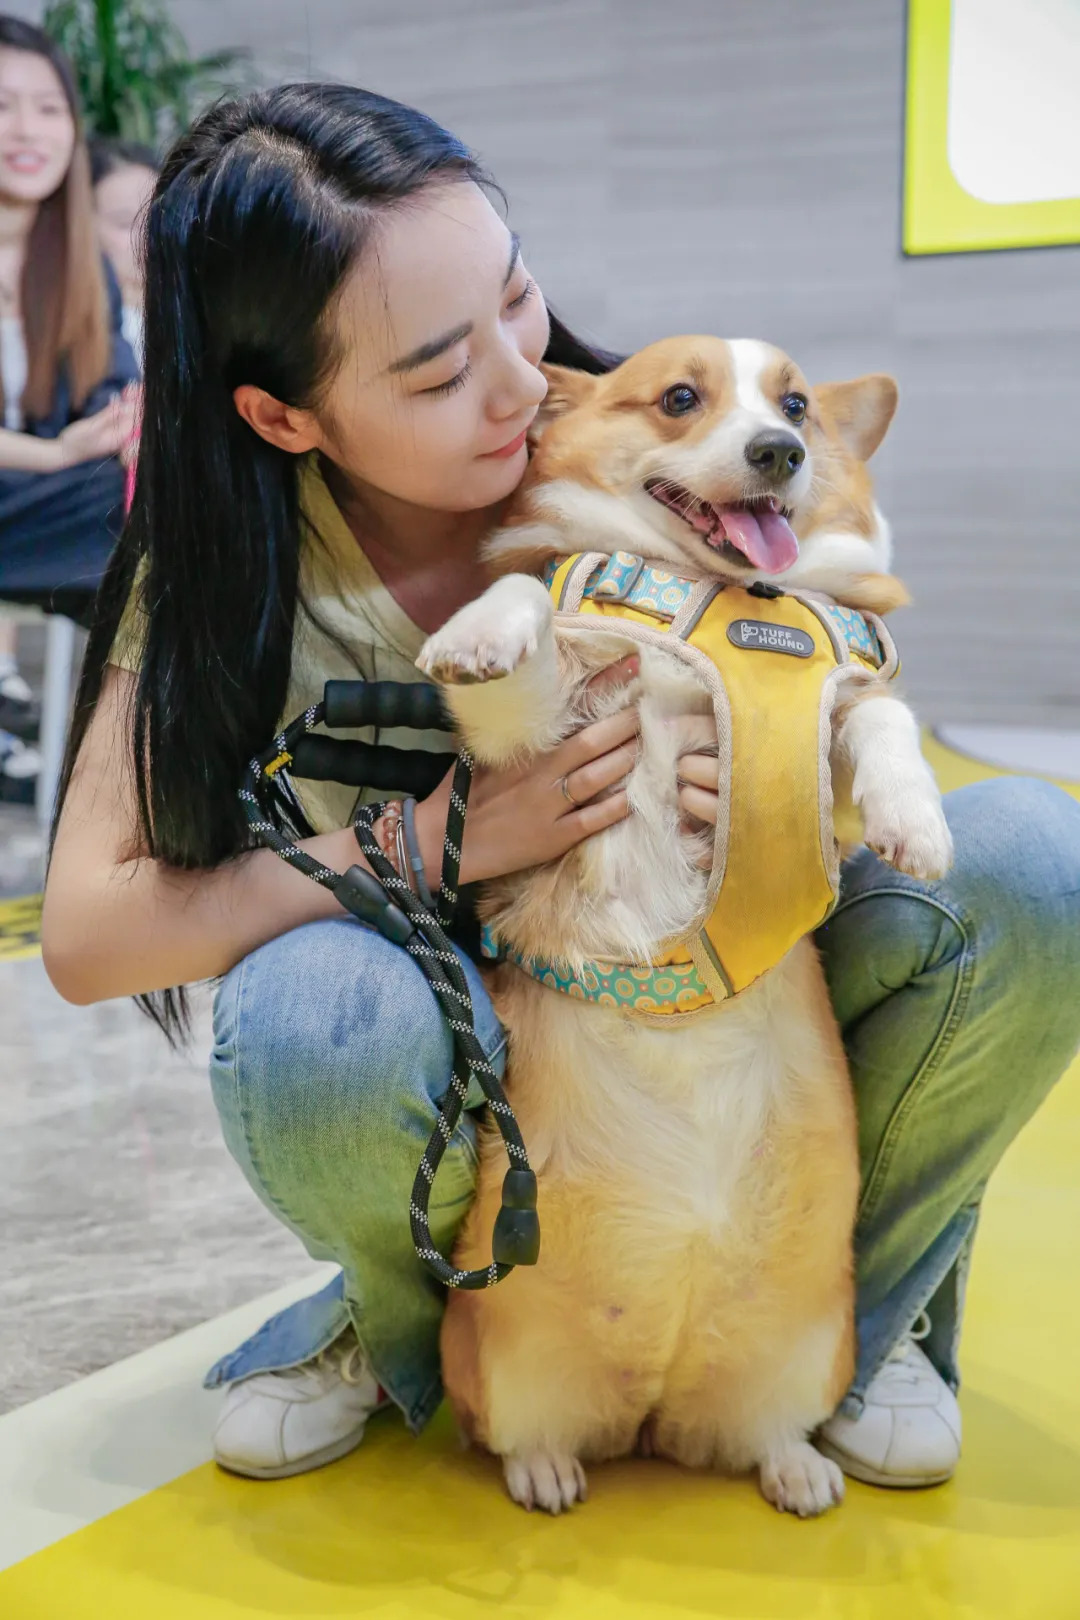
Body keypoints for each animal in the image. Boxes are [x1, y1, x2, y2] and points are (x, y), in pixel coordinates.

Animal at [416, 336, 952, 1518]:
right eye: (676, 399)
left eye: (796, 405)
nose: (779, 451)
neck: (714, 594)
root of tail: (653, 1403)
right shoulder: (539, 735)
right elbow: (523, 599)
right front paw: (477, 631)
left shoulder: (835, 717)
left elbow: (888, 721)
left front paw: (917, 822)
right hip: (493, 1350)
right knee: (509, 1431)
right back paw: (546, 1471)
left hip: (810, 1350)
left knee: (762, 1430)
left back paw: (797, 1468)